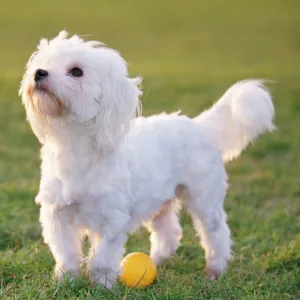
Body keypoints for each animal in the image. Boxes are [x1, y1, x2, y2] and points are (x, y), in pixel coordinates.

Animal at [19, 31, 276, 288]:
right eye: (46, 63)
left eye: (76, 71)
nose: (39, 72)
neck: (75, 147)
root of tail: (198, 126)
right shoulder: (57, 214)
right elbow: (66, 253)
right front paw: (66, 281)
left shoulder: (111, 218)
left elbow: (102, 258)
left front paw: (102, 285)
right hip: (160, 201)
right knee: (169, 232)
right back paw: (157, 260)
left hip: (204, 198)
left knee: (216, 233)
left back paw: (215, 270)